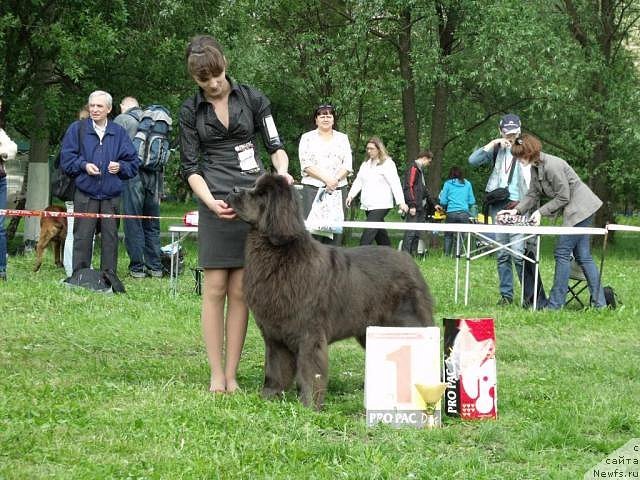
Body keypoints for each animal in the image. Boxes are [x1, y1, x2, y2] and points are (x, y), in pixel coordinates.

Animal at [226, 174, 436, 410]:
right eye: (253, 186)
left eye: (261, 194)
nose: (233, 189)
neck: (277, 254)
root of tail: (410, 262)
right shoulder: (274, 333)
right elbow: (275, 368)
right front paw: (269, 397)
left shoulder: (309, 333)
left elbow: (309, 371)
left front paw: (309, 405)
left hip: (408, 322)